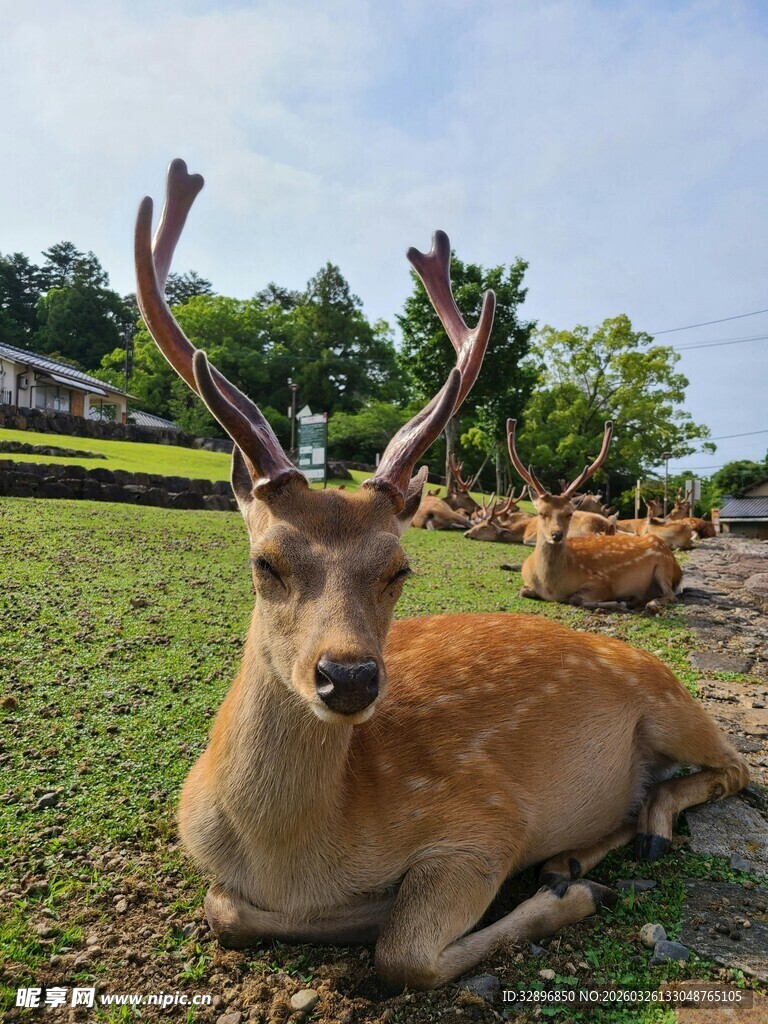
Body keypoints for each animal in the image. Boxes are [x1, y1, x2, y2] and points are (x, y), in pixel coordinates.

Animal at [508, 421, 684, 612]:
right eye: (541, 512)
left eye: (569, 513)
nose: (556, 535)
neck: (551, 588)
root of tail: (677, 568)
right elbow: (522, 591)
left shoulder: (602, 582)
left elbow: (576, 598)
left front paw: (620, 602)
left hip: (664, 566)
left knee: (671, 596)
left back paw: (645, 602)